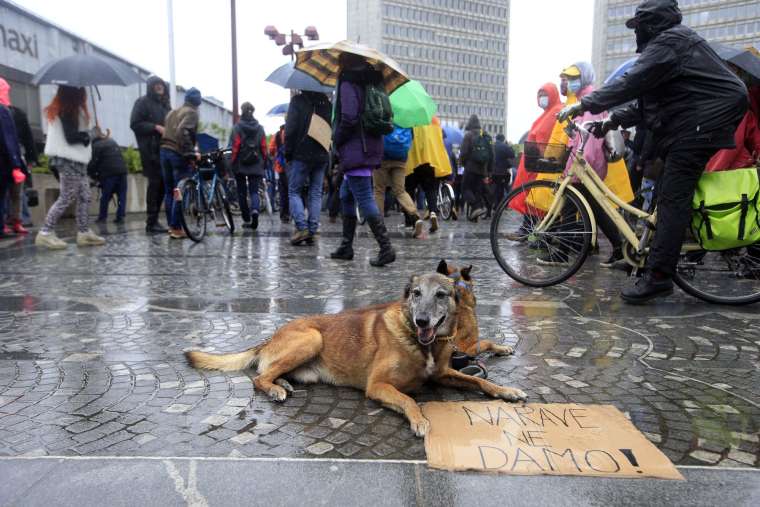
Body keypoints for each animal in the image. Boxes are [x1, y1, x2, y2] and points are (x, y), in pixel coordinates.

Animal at [186, 270, 528, 436]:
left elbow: (481, 381)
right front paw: (419, 421)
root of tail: (271, 336)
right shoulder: (378, 386)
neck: (421, 343)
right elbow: (409, 400)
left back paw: (283, 384)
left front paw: (507, 390)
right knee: (259, 377)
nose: (422, 320)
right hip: (312, 338)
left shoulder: (444, 373)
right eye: (416, 294)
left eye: (441, 295)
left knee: (267, 372)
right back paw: (276, 390)